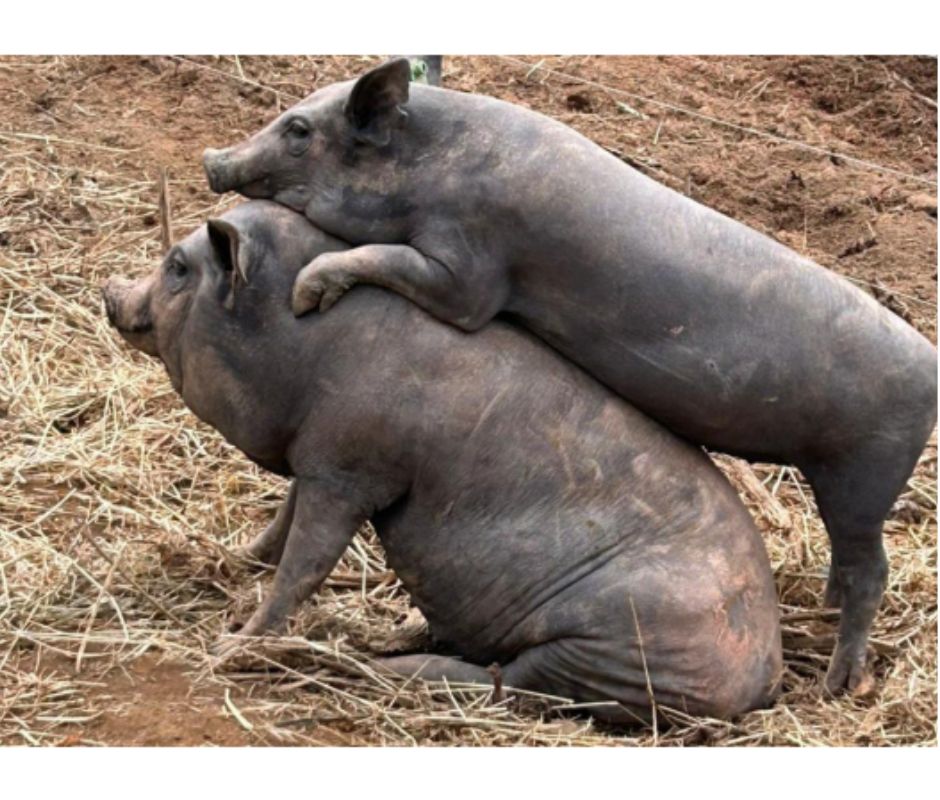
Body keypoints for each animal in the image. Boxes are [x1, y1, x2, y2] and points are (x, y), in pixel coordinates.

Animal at [102, 200, 782, 723]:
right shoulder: (318, 453)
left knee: (512, 682)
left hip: (613, 641)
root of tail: (764, 677)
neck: (302, 339)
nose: (109, 290)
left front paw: (229, 646)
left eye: (177, 267)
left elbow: (305, 563)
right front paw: (229, 562)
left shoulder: (351, 470)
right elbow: (281, 527)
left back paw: (382, 663)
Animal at [201, 59, 938, 695]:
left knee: (872, 569)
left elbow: (392, 261)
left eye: (299, 130)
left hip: (865, 474)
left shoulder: (466, 272)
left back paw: (840, 683)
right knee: (849, 563)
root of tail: (929, 368)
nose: (213, 159)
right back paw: (822, 613)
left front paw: (307, 292)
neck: (431, 171)